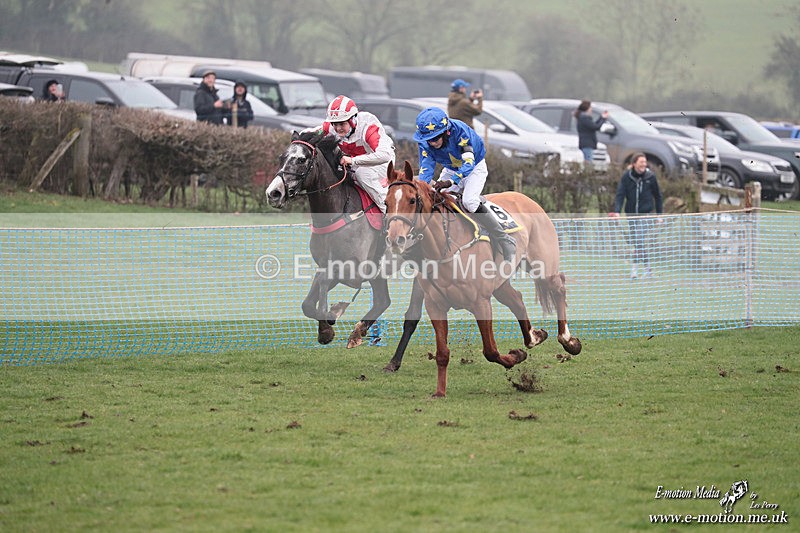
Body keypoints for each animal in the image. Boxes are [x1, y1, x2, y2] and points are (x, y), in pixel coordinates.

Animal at [266, 131, 423, 362]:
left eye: (302, 159)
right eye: (280, 157)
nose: (274, 193)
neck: (338, 212)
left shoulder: (355, 270)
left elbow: (325, 282)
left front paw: (327, 323)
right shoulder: (326, 264)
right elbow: (308, 302)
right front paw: (328, 321)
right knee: (382, 301)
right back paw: (358, 332)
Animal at [384, 160, 582, 397]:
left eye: (412, 200)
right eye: (386, 203)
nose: (395, 239)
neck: (445, 247)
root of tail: (525, 197)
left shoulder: (481, 302)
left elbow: (490, 350)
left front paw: (517, 356)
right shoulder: (435, 305)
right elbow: (442, 353)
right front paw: (439, 392)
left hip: (543, 266)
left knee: (558, 288)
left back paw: (568, 341)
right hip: (500, 282)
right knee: (517, 299)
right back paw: (534, 337)